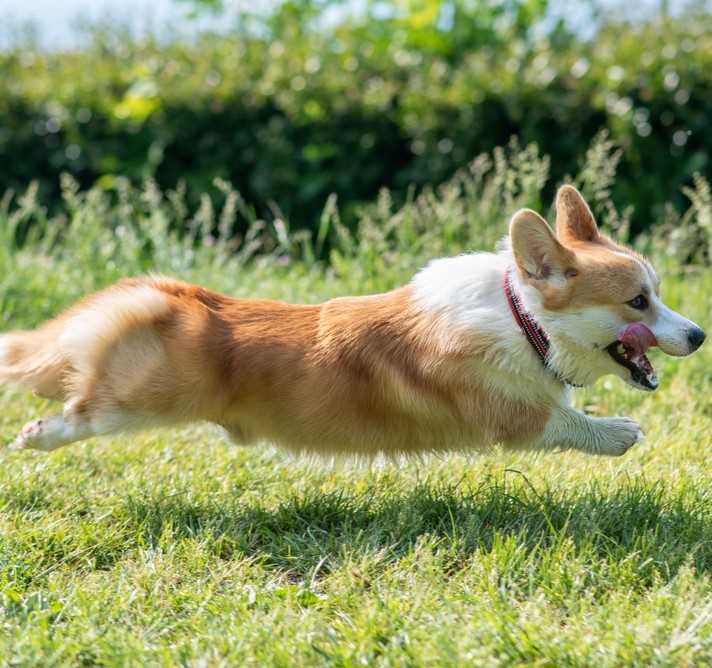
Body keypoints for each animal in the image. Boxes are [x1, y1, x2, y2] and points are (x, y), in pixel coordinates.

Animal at [0, 188, 704, 460]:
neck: (522, 317)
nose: (699, 335)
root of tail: (162, 294)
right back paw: (35, 435)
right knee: (79, 409)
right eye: (637, 303)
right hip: (137, 402)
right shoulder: (507, 415)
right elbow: (562, 421)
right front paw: (619, 431)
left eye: (657, 293)